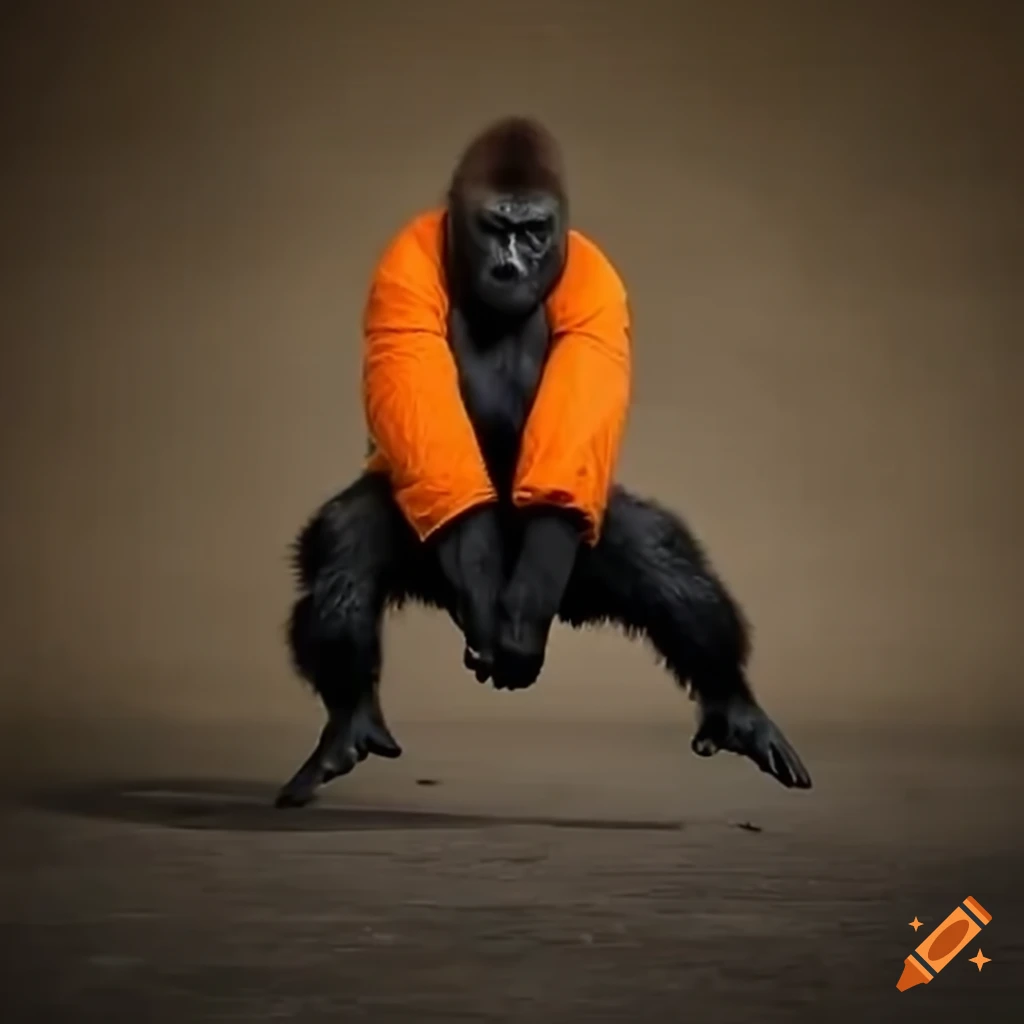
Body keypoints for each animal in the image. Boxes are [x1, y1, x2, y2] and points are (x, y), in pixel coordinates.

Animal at [274, 116, 812, 809]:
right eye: (494, 228)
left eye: (533, 231)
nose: (510, 267)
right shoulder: (403, 261)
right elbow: (420, 409)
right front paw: (486, 617)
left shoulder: (596, 279)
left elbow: (577, 427)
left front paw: (519, 631)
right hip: (432, 553)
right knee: (350, 539)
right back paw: (349, 717)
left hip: (574, 565)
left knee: (663, 561)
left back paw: (733, 702)